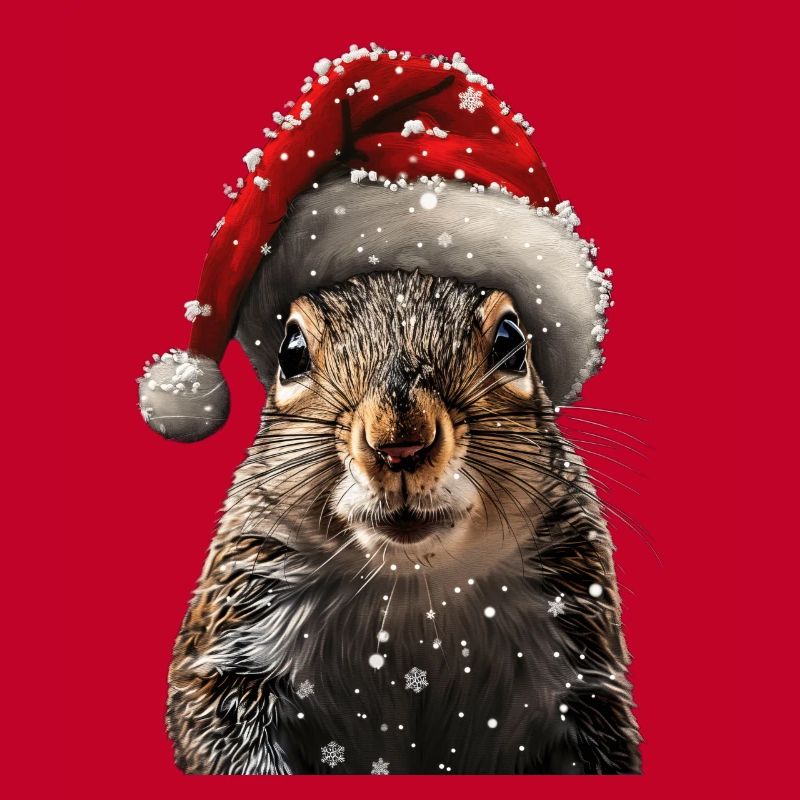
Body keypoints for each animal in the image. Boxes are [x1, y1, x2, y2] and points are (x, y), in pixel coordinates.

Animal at [167, 260, 641, 773]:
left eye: (511, 342)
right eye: (291, 353)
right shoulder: (239, 637)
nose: (399, 443)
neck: (415, 587)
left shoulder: (580, 663)